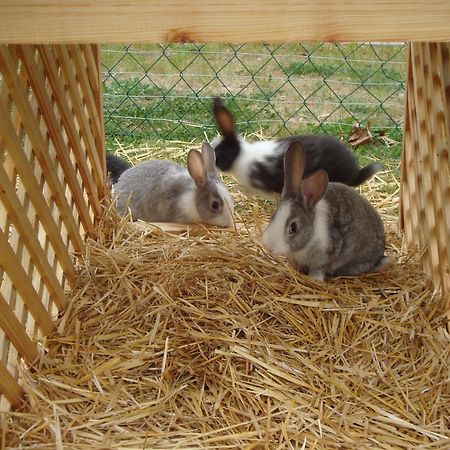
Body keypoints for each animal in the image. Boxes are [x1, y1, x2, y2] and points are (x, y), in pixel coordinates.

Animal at [262, 142, 388, 280]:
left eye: (293, 228)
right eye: (273, 216)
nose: (269, 245)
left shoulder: (324, 256)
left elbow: (318, 269)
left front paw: (315, 279)